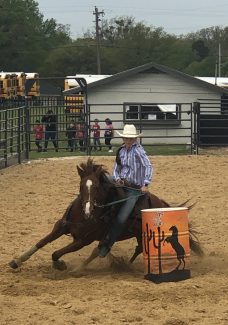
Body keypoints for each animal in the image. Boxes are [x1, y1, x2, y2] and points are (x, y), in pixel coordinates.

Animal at [8, 158, 203, 270]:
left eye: (96, 188)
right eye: (81, 186)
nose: (88, 211)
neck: (83, 216)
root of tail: (159, 203)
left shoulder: (82, 241)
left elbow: (56, 252)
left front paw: (59, 264)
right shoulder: (61, 226)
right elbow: (41, 242)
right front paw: (18, 260)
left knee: (126, 249)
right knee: (130, 248)